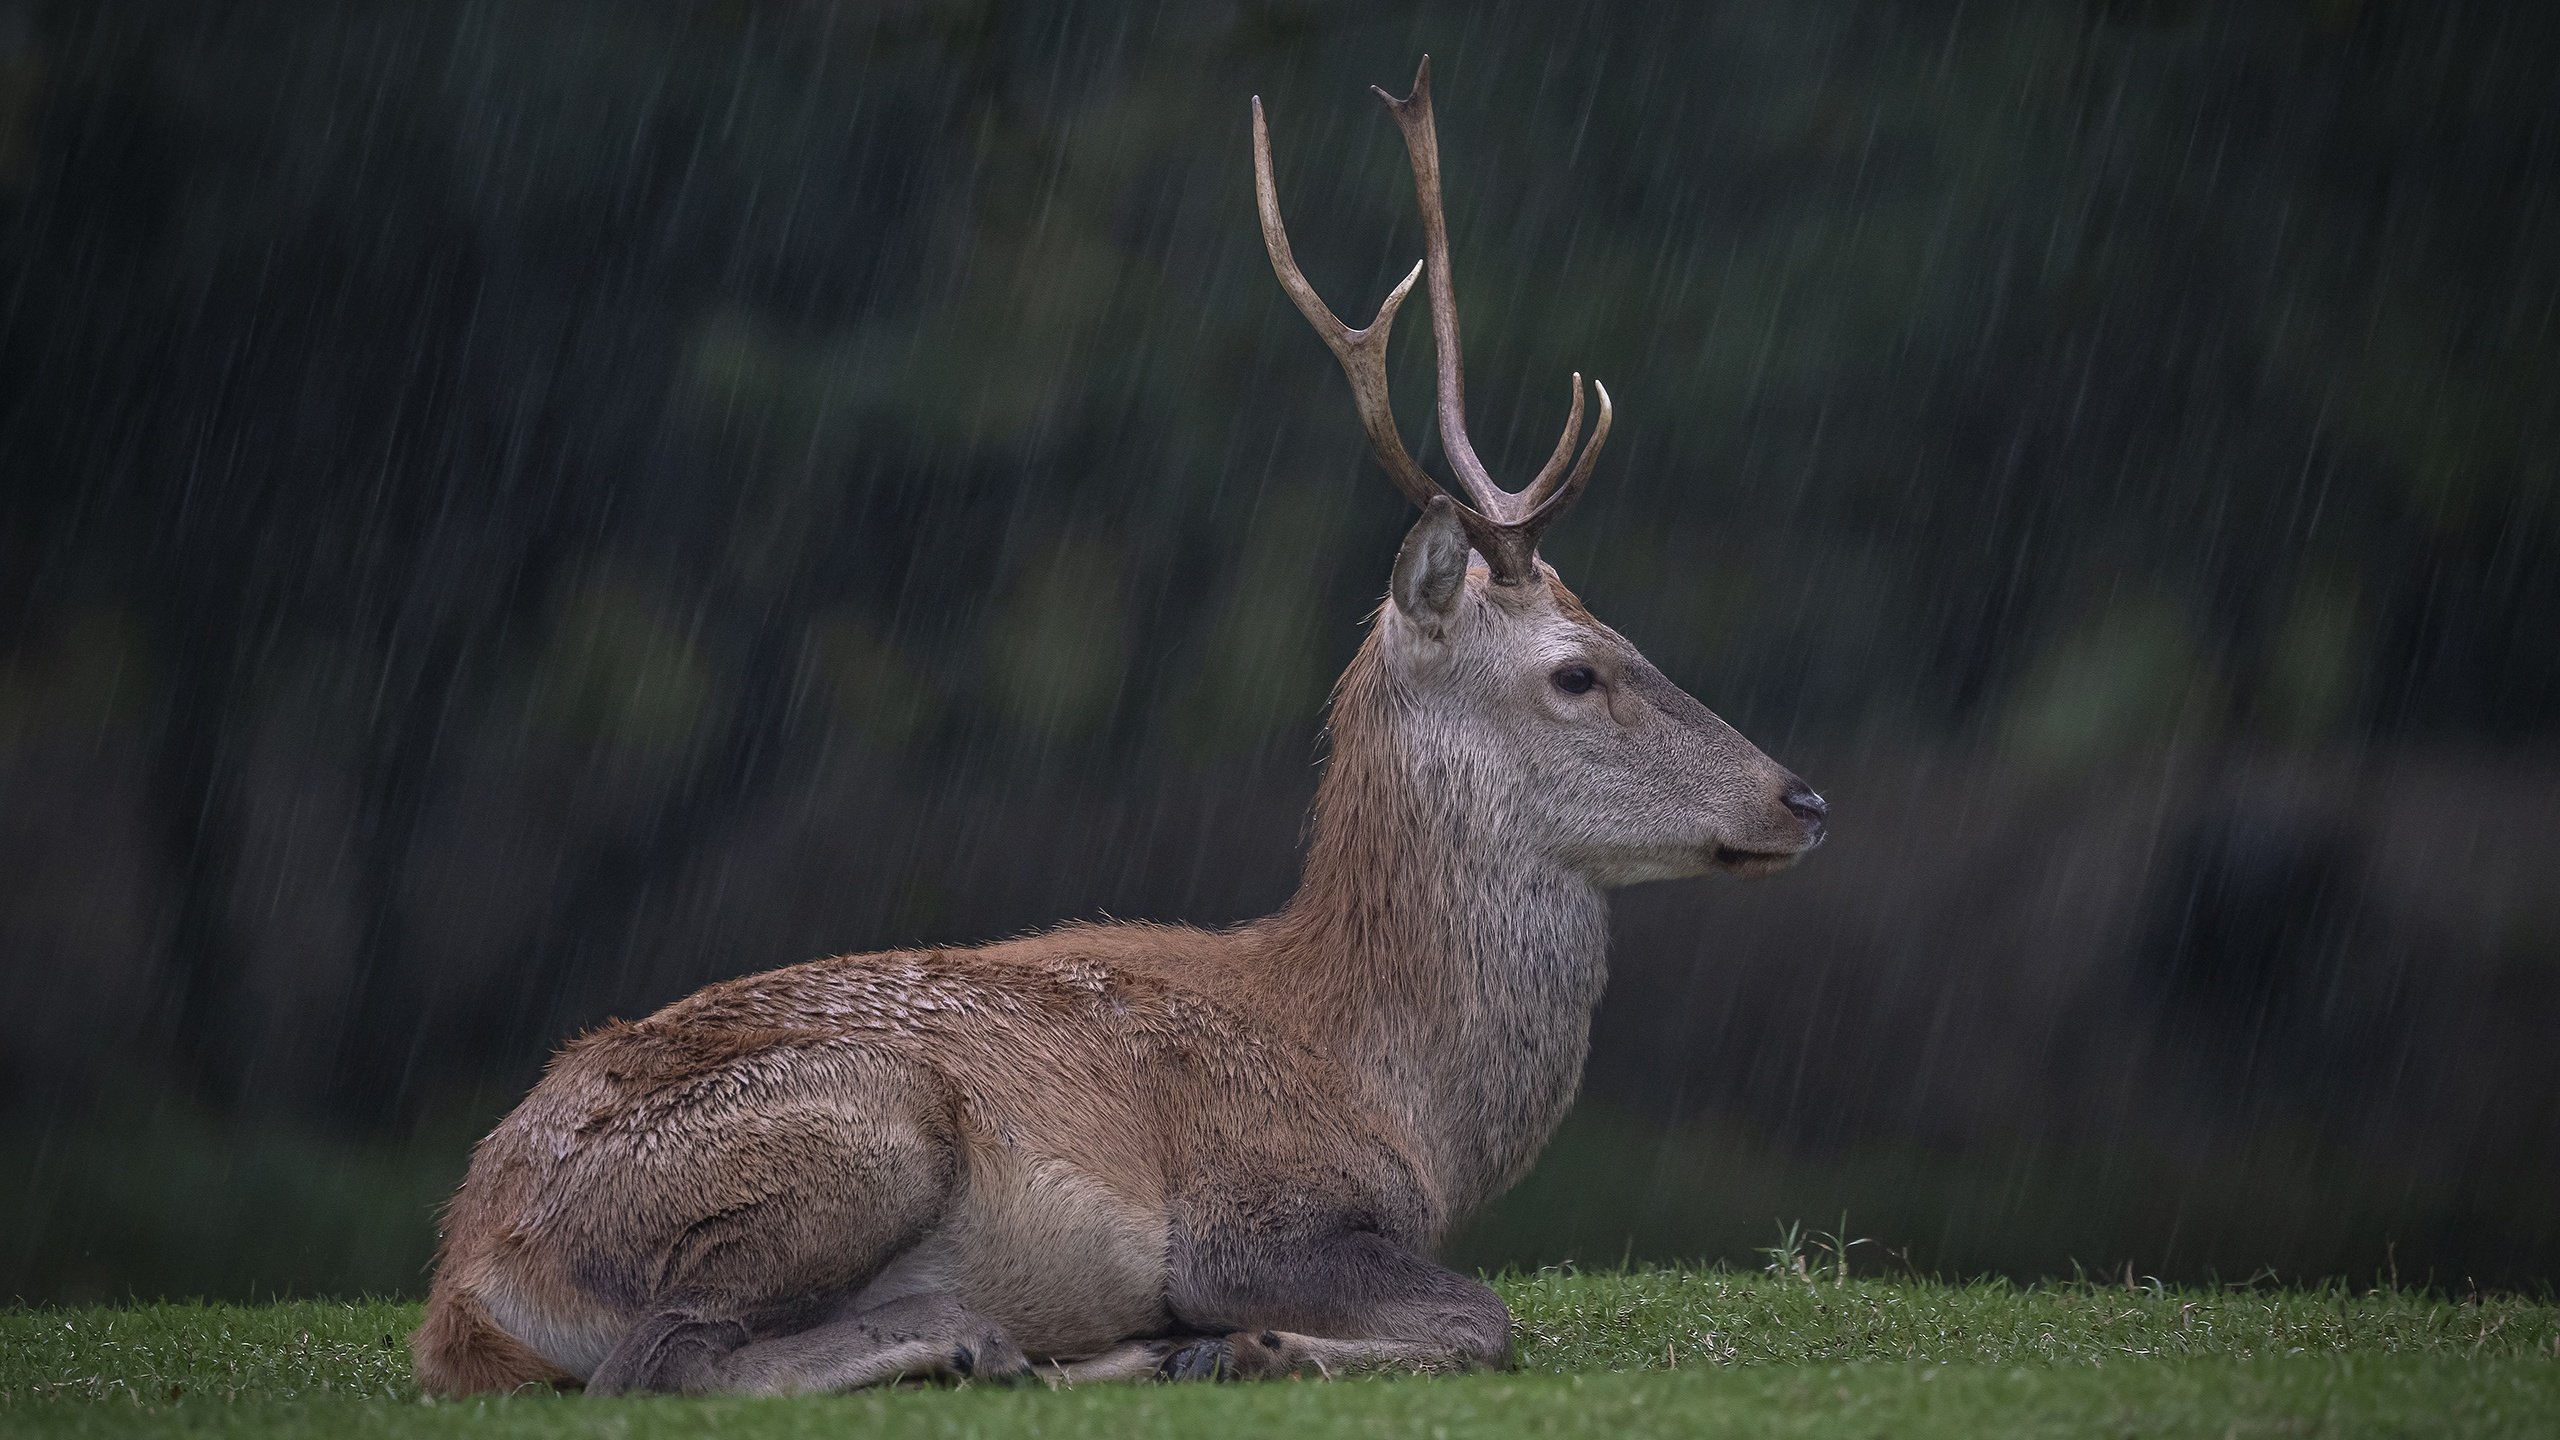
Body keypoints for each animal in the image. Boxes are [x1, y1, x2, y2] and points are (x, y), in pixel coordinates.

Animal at [414, 56, 1822, 1393]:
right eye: (1578, 672)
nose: (1800, 798)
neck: (1394, 1096)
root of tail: (469, 1276)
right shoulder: (1251, 1210)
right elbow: (1487, 1319)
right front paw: (1247, 1344)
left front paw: (1212, 1347)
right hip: (856, 1125)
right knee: (664, 1359)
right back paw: (993, 1343)